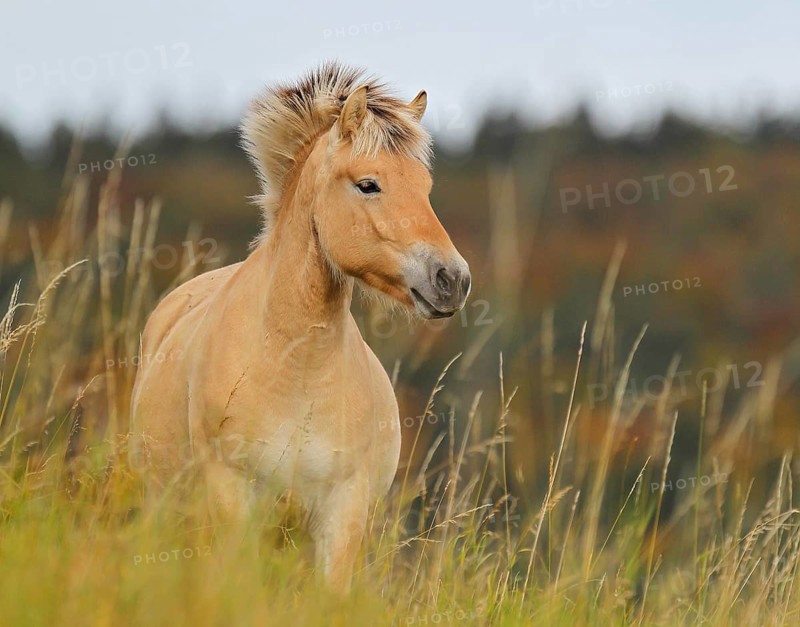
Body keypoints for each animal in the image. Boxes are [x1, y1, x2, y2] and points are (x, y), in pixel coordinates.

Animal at [129, 62, 471, 591]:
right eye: (368, 184)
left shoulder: (341, 514)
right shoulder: (232, 498)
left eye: (425, 188)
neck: (297, 370)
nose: (452, 280)